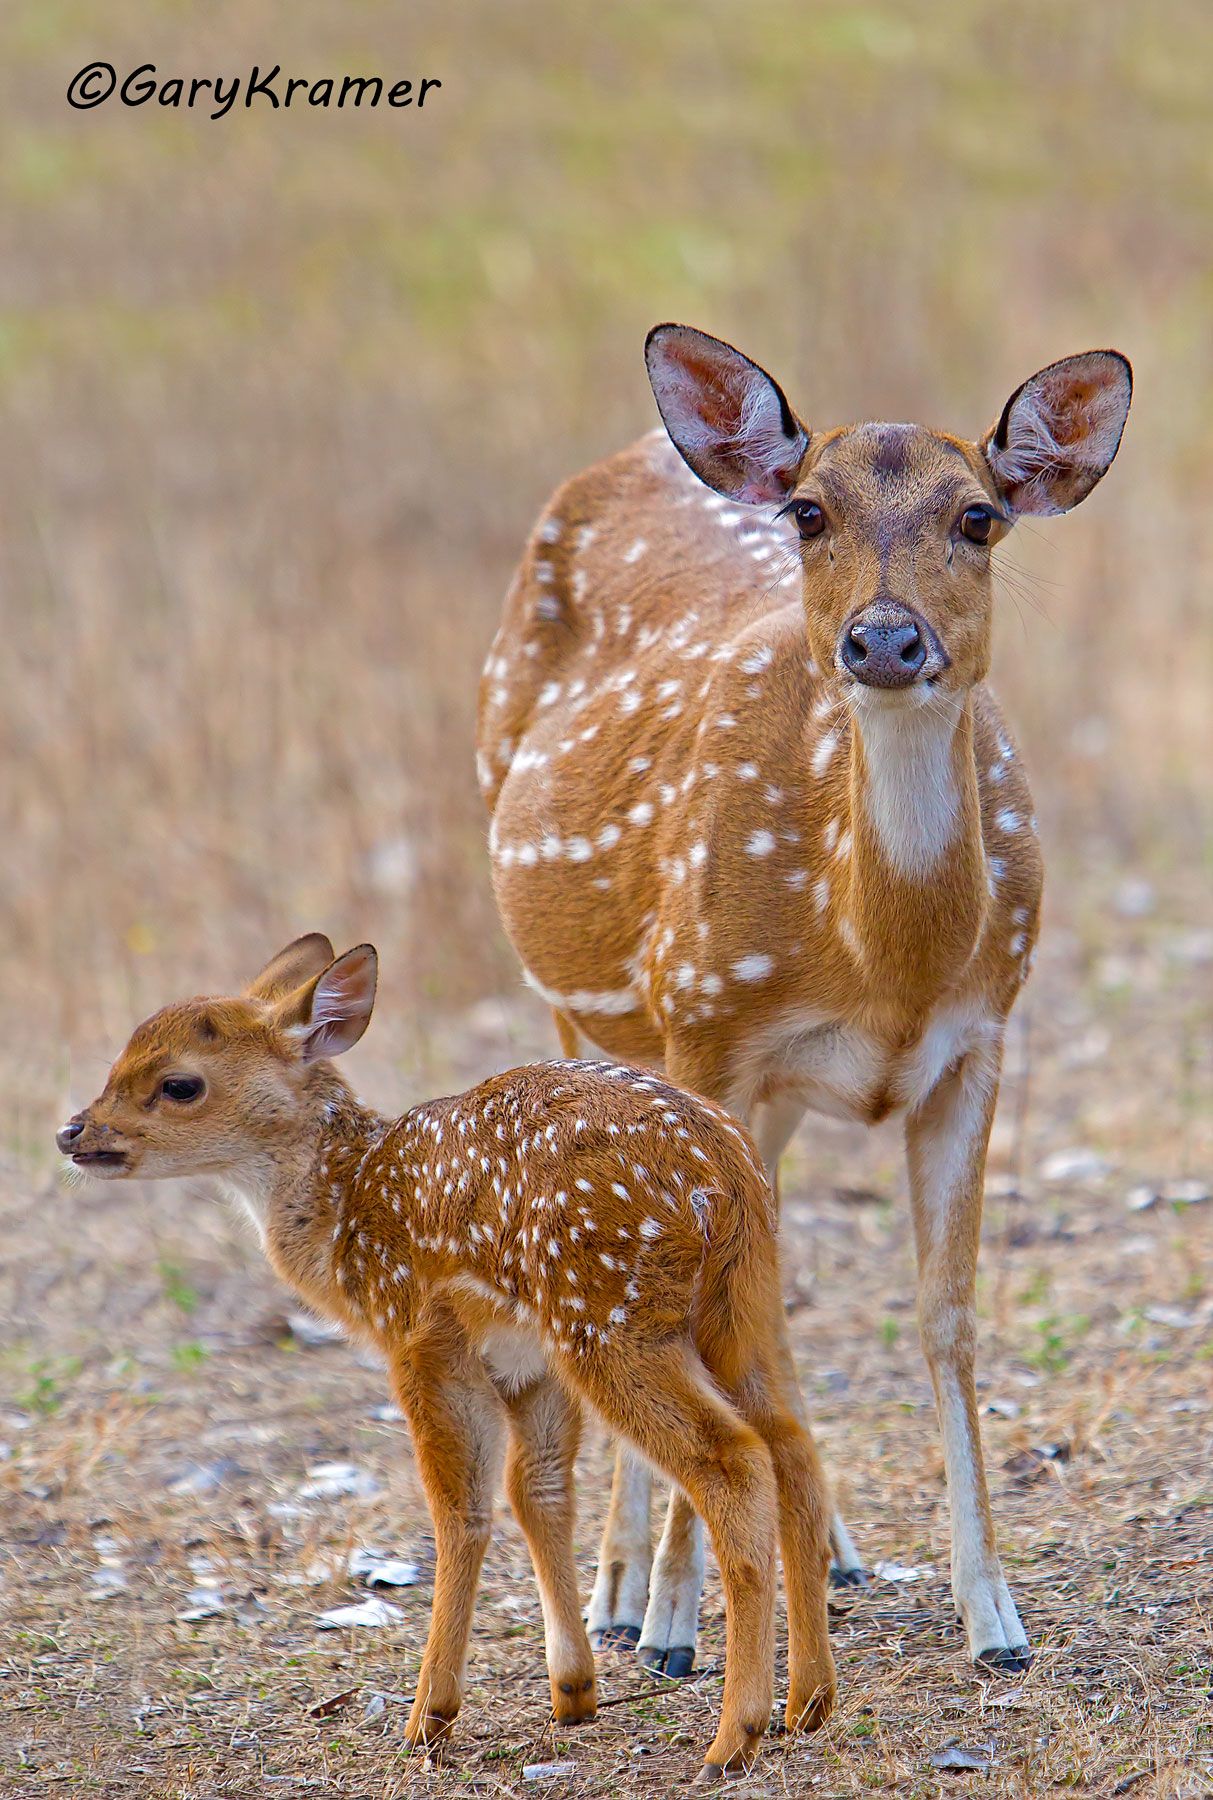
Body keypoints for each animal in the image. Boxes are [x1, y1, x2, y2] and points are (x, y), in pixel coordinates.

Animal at [56, 933, 837, 1782]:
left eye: (177, 1084)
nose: (74, 1133)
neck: (346, 1211)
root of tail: (722, 1174)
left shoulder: (421, 1335)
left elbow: (458, 1509)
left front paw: (428, 1717)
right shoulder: (527, 1359)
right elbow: (538, 1492)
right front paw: (572, 1691)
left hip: (610, 1316)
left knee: (734, 1462)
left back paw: (735, 1734)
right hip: (739, 1307)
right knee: (793, 1447)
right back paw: (808, 1703)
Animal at [477, 325, 1132, 1679]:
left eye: (979, 515)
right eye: (810, 513)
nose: (884, 641)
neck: (885, 962)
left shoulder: (979, 1040)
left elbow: (946, 1315)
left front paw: (994, 1617)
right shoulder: (708, 1026)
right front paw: (676, 1623)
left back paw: (815, 1549)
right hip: (593, 1010)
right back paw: (622, 1592)